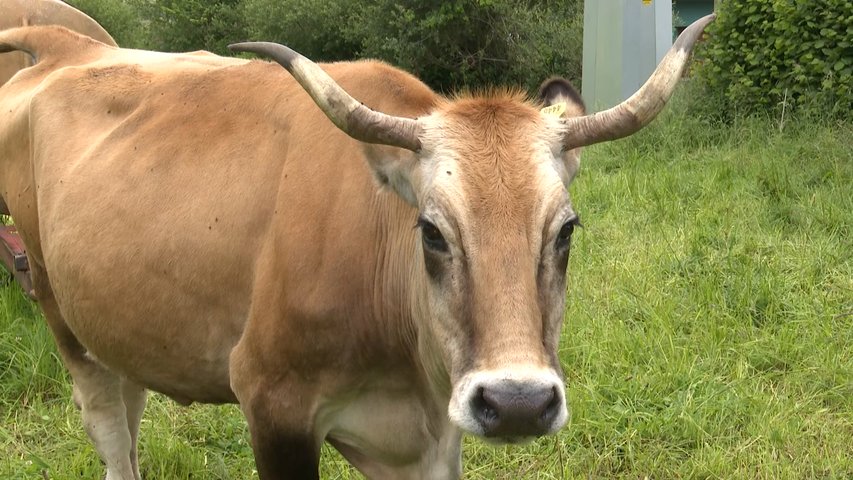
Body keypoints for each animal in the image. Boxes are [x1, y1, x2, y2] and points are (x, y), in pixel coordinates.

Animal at [0, 15, 716, 480]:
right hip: (60, 314)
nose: (517, 403)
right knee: (110, 429)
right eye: (430, 231)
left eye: (565, 229)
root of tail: (65, 47)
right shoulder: (274, 406)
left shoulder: (433, 439)